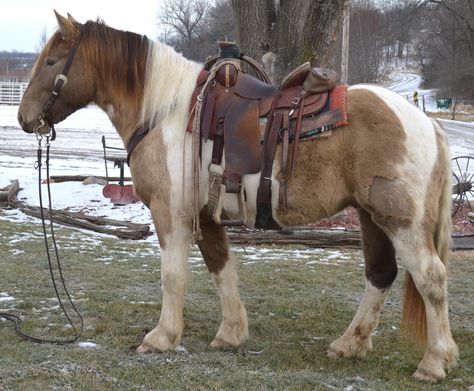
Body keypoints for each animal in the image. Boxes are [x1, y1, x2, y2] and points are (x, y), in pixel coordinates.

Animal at [16, 12, 458, 382]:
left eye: (53, 61)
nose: (23, 118)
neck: (166, 112)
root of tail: (426, 122)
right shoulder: (206, 214)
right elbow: (221, 267)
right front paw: (231, 333)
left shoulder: (170, 212)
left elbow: (173, 275)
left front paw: (162, 337)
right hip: (369, 215)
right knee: (380, 274)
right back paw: (350, 343)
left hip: (398, 220)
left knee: (430, 278)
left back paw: (434, 362)